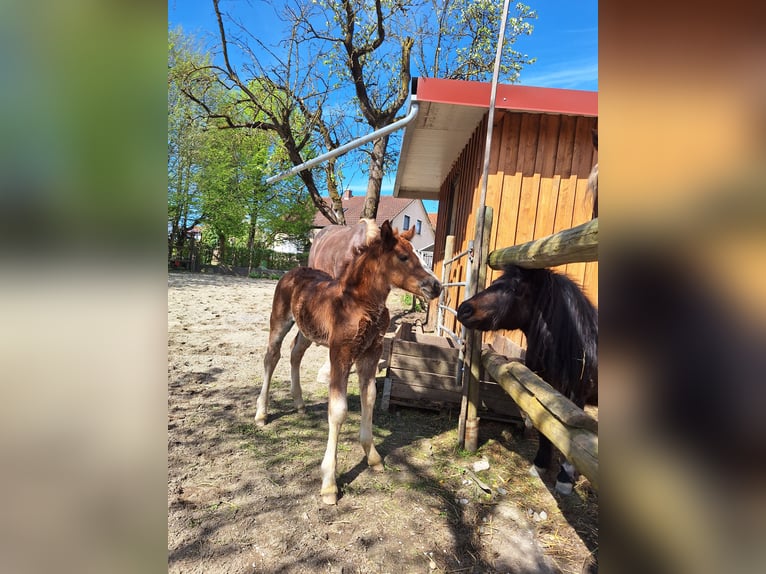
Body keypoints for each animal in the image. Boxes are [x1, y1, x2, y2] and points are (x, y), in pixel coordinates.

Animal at [456, 266, 600, 496]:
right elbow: (546, 430)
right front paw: (540, 464)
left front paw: (564, 479)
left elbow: (574, 435)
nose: (464, 310)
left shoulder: (576, 395)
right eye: (495, 282)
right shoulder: (542, 390)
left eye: (515, 289)